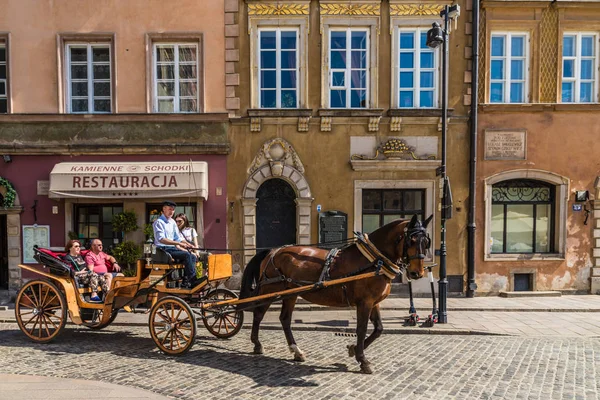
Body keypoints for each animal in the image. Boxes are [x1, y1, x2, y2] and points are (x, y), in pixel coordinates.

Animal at [239, 216, 432, 376]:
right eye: (411, 240)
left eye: (426, 242)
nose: (417, 272)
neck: (373, 260)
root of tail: (274, 251)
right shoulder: (364, 302)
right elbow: (361, 329)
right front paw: (362, 359)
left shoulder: (374, 302)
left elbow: (378, 329)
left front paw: (353, 349)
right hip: (270, 290)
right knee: (258, 314)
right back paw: (257, 344)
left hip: (291, 293)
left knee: (285, 319)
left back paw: (296, 351)